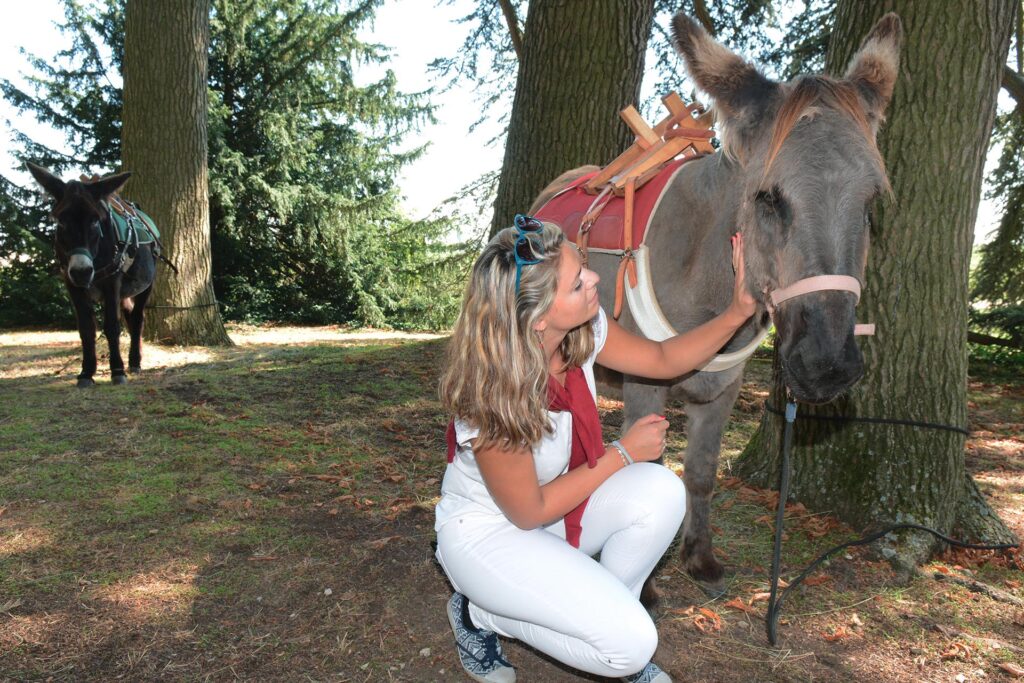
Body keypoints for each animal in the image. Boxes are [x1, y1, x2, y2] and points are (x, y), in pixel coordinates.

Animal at [27, 163, 158, 388]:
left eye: (95, 221)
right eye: (61, 221)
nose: (82, 271)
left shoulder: (111, 282)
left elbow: (112, 326)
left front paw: (117, 371)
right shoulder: (72, 283)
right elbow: (86, 328)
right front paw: (86, 373)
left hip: (145, 285)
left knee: (138, 319)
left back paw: (134, 362)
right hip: (123, 291)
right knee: (129, 316)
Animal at [531, 12, 901, 594]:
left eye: (871, 204)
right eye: (768, 197)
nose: (828, 366)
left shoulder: (722, 391)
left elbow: (701, 474)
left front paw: (698, 557)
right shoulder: (645, 386)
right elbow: (649, 469)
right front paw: (647, 583)